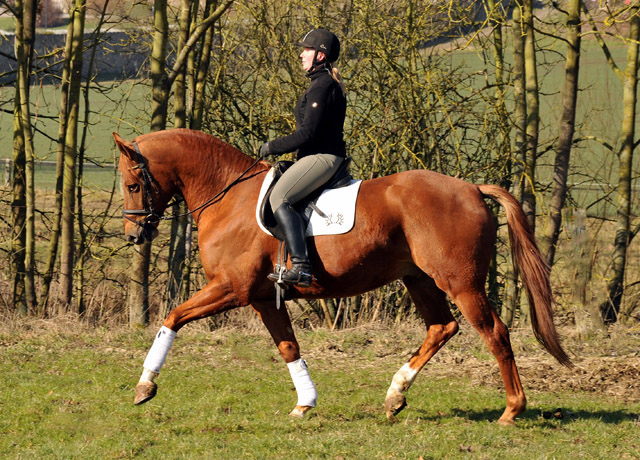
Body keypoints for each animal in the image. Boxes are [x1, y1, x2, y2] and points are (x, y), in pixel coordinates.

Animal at [114, 127, 568, 426]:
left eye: (133, 185)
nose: (134, 235)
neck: (229, 196)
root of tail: (472, 189)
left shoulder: (232, 288)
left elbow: (172, 318)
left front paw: (144, 386)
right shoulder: (262, 297)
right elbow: (289, 348)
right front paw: (305, 403)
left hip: (461, 282)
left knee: (494, 332)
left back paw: (512, 410)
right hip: (419, 279)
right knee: (442, 327)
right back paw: (395, 395)